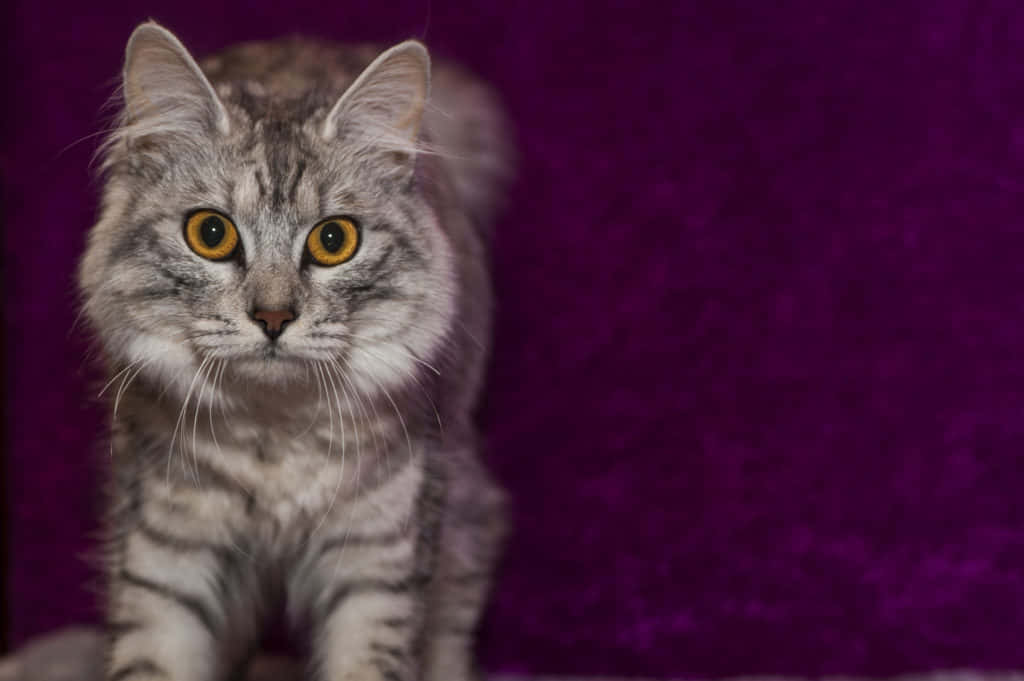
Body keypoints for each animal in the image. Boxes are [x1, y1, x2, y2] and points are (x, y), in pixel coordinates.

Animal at [75, 21, 512, 679]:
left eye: (334, 240)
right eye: (210, 233)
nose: (274, 318)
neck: (273, 433)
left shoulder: (380, 553)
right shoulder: (165, 544)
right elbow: (151, 654)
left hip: (461, 506)